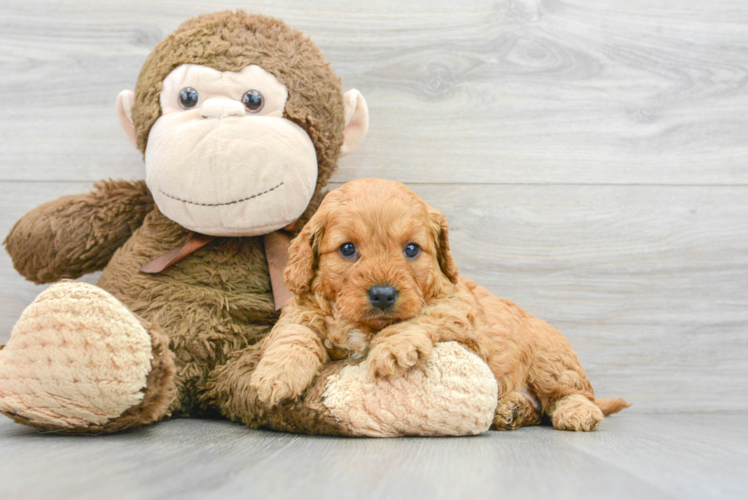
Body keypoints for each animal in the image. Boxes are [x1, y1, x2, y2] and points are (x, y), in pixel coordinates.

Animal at [253, 178, 632, 432]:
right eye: (347, 249)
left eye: (411, 249)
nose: (383, 294)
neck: (364, 325)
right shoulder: (302, 308)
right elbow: (293, 333)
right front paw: (276, 375)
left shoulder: (456, 308)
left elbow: (419, 317)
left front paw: (393, 348)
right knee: (538, 409)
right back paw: (510, 410)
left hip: (551, 361)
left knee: (574, 395)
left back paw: (576, 413)